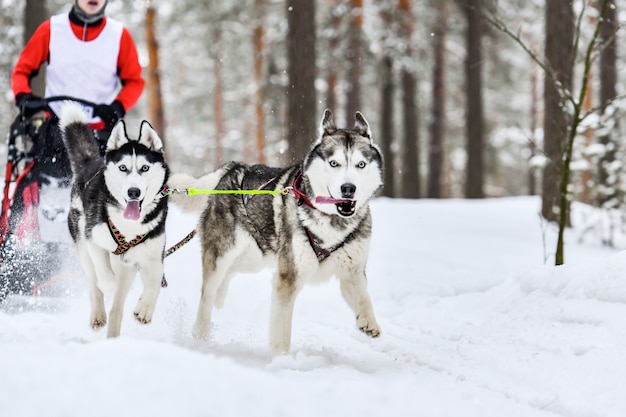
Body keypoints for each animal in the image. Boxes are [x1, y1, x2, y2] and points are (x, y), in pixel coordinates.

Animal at [168, 109, 380, 354]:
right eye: (334, 163)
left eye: (361, 164)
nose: (348, 188)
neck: (331, 222)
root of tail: (234, 168)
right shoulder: (287, 278)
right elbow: (281, 332)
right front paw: (281, 359)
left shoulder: (352, 272)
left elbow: (364, 298)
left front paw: (369, 322)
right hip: (223, 254)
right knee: (206, 295)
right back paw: (200, 335)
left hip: (255, 257)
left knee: (231, 273)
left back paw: (221, 296)